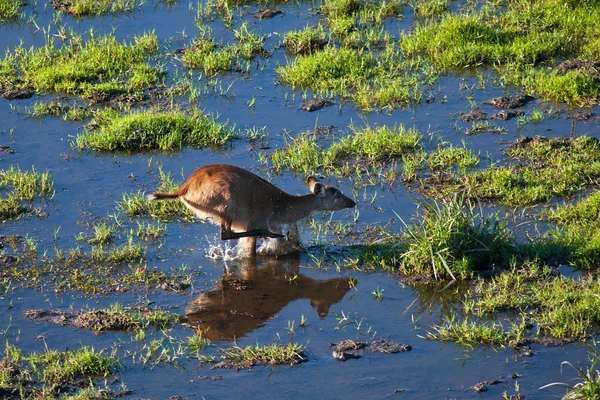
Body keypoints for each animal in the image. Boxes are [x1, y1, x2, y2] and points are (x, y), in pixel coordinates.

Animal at [146, 165, 356, 256]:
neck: (282, 205)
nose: (353, 202)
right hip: (226, 207)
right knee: (225, 234)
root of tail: (184, 188)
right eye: (337, 193)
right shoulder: (254, 222)